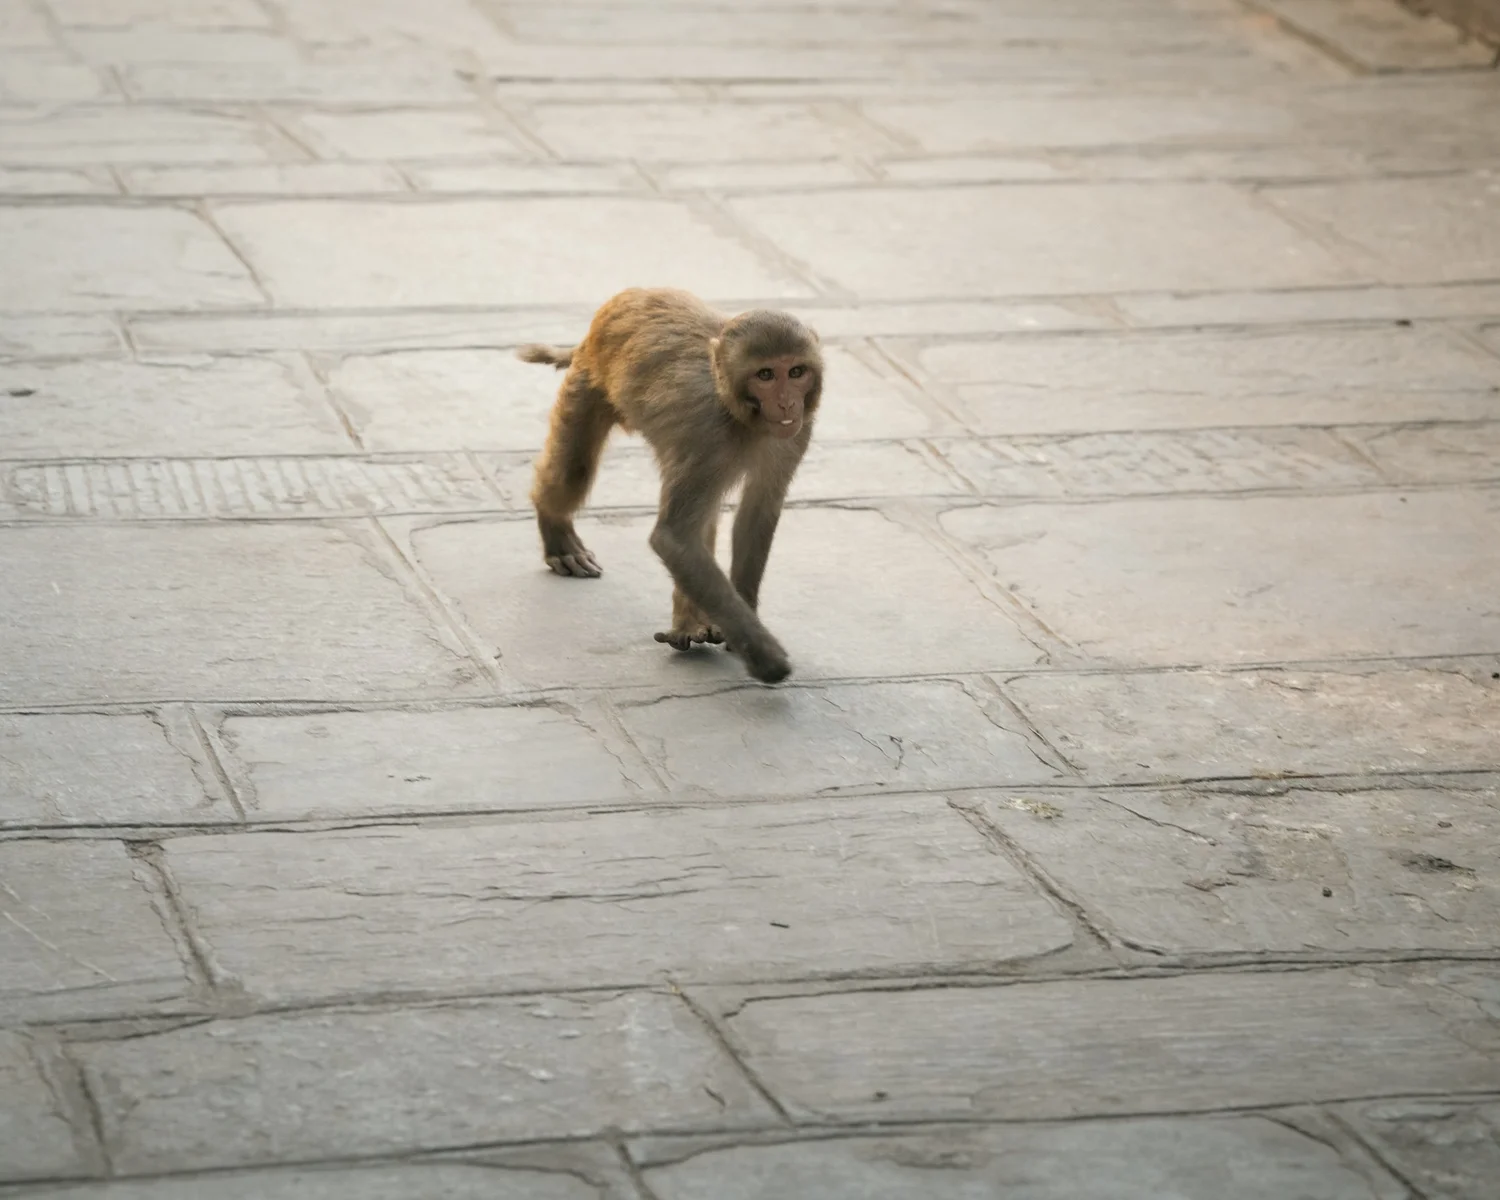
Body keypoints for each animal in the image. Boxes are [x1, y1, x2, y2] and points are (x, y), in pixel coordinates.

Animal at [517, 287, 823, 684]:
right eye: (766, 374)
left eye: (796, 371)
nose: (787, 404)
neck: (740, 417)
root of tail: (621, 300)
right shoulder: (707, 437)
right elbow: (674, 538)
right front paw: (764, 657)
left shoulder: (796, 434)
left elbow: (756, 514)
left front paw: (743, 626)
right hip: (587, 382)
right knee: (574, 471)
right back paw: (557, 533)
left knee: (703, 517)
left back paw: (690, 626)